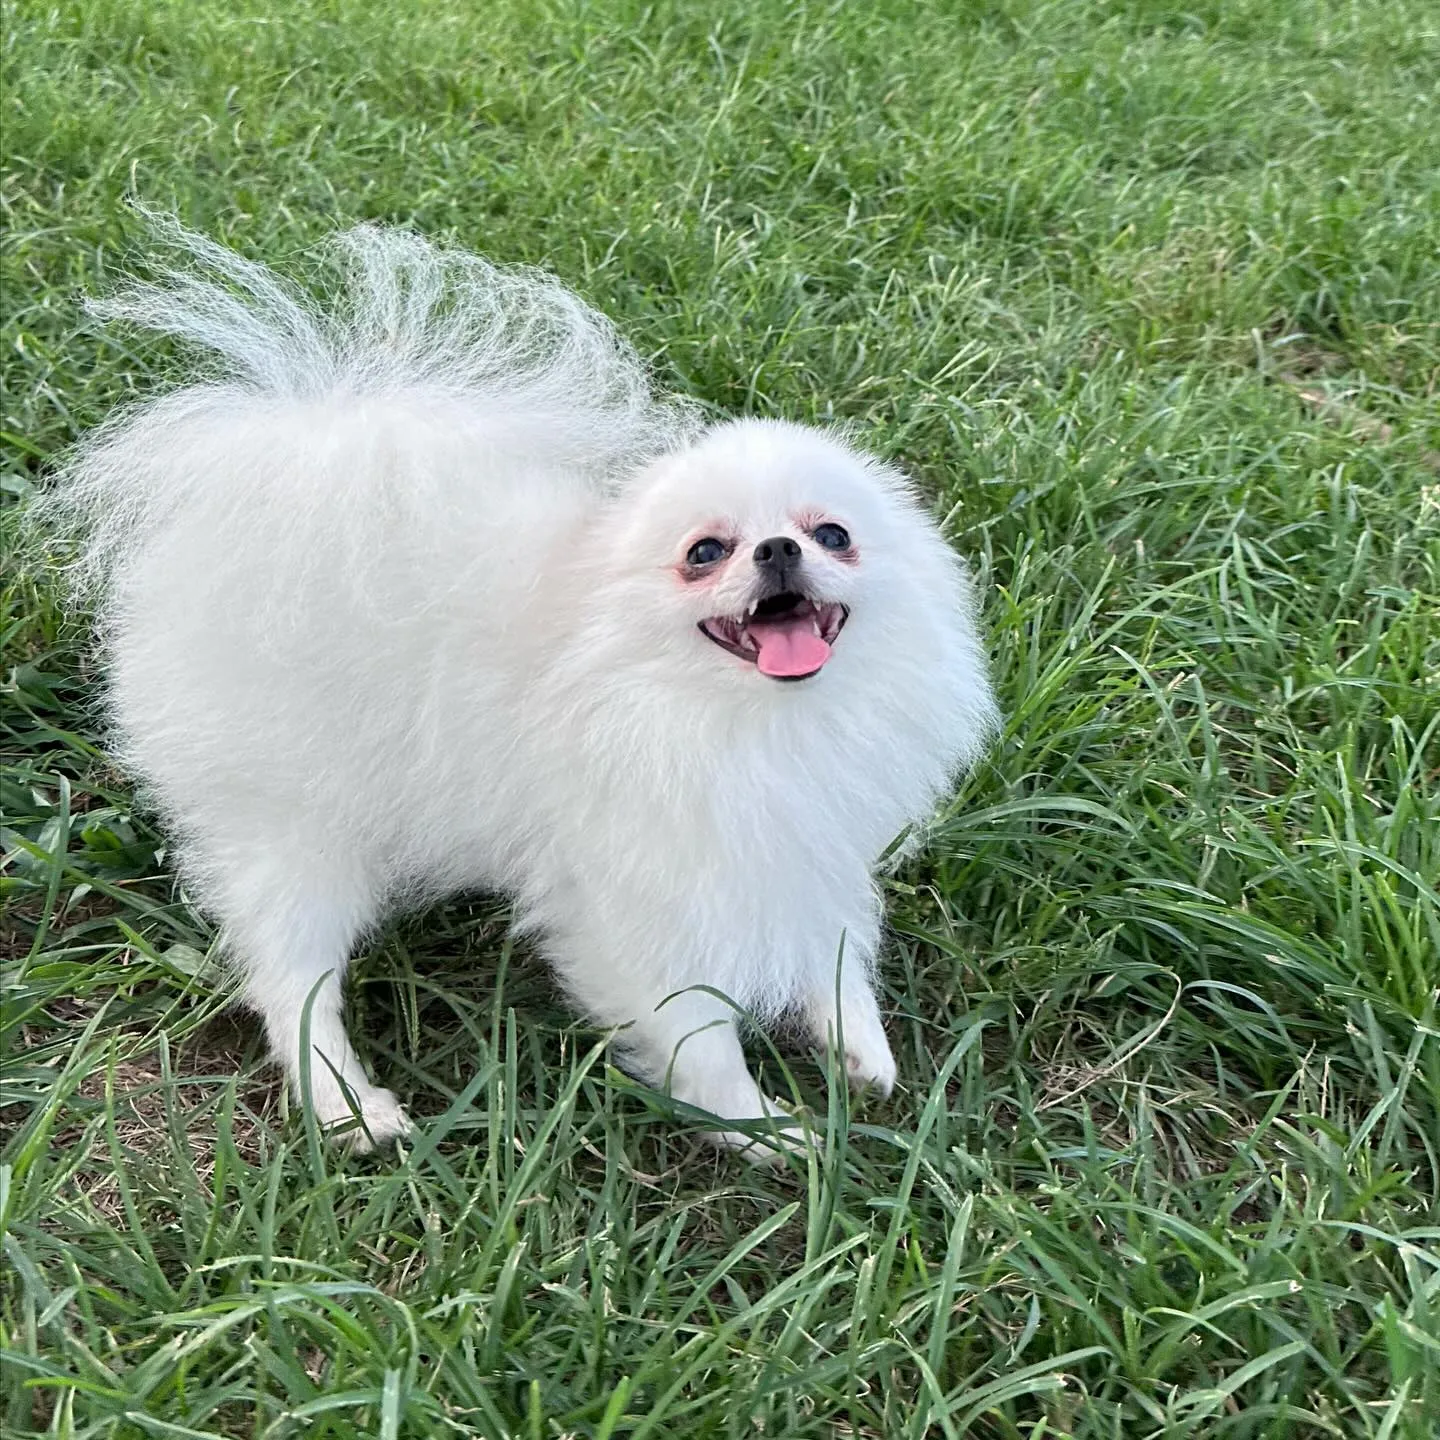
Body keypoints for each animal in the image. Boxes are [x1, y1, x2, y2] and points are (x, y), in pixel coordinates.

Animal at [39, 218, 996, 1152]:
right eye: (704, 552)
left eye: (833, 534)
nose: (778, 550)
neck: (742, 716)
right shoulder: (637, 895)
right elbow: (696, 1033)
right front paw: (763, 1127)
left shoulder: (804, 840)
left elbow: (835, 951)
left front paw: (857, 1048)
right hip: (296, 826)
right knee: (290, 978)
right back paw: (348, 1104)